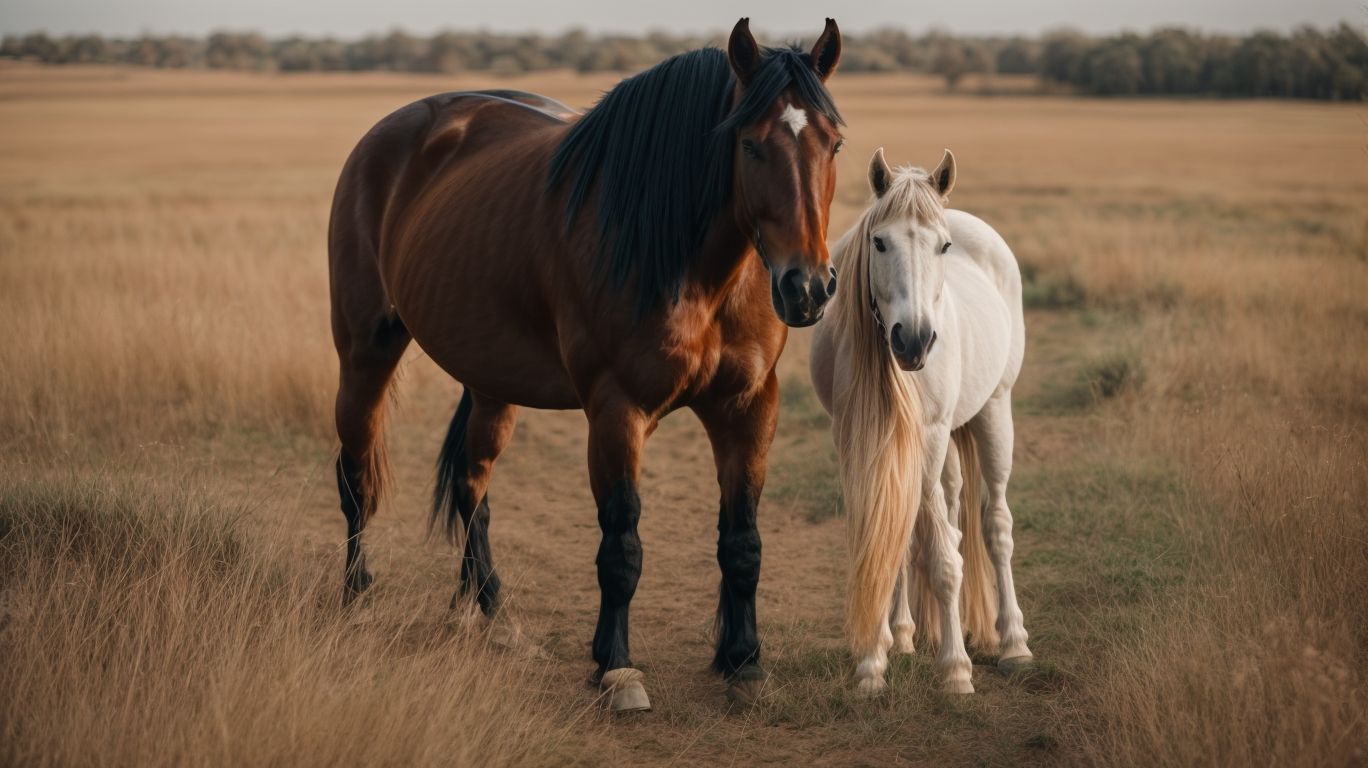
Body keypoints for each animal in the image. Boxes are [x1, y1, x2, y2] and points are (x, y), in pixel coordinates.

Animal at [327, 18, 846, 711]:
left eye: (834, 145)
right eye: (751, 145)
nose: (807, 288)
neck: (686, 261)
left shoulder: (748, 405)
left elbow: (743, 540)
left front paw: (744, 662)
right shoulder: (616, 409)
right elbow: (621, 545)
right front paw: (616, 669)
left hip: (490, 383)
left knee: (471, 485)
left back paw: (495, 617)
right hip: (365, 353)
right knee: (357, 476)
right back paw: (358, 600)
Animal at [809, 148, 1034, 695]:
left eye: (943, 246)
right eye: (879, 241)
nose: (912, 341)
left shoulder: (927, 441)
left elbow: (942, 557)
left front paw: (955, 670)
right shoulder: (857, 443)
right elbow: (883, 538)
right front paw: (874, 662)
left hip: (993, 414)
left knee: (994, 526)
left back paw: (1013, 643)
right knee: (940, 521)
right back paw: (912, 633)